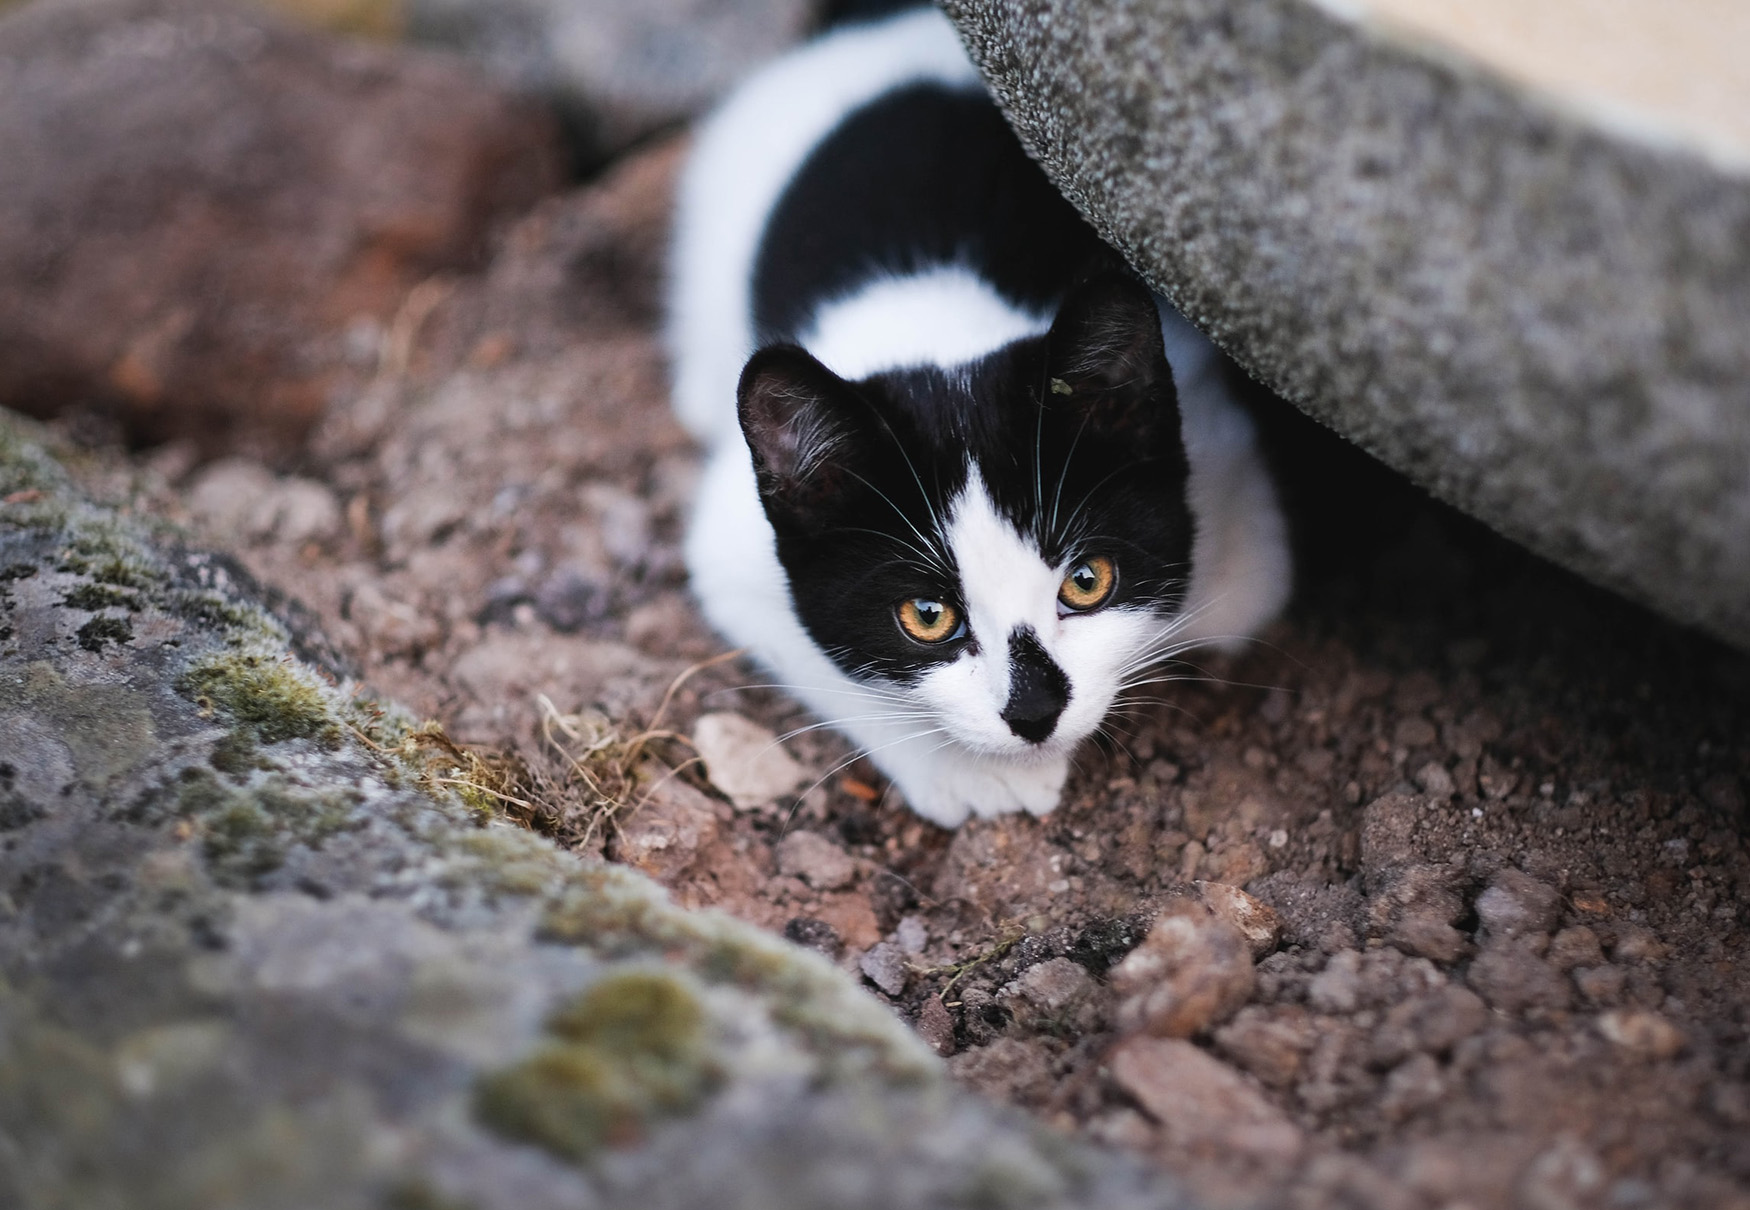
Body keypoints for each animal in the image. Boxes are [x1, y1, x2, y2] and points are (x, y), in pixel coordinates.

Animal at [665, 0, 1288, 830]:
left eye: (1087, 581)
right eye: (926, 615)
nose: (1033, 714)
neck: (942, 328)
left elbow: (1235, 596)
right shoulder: (727, 545)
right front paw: (971, 769)